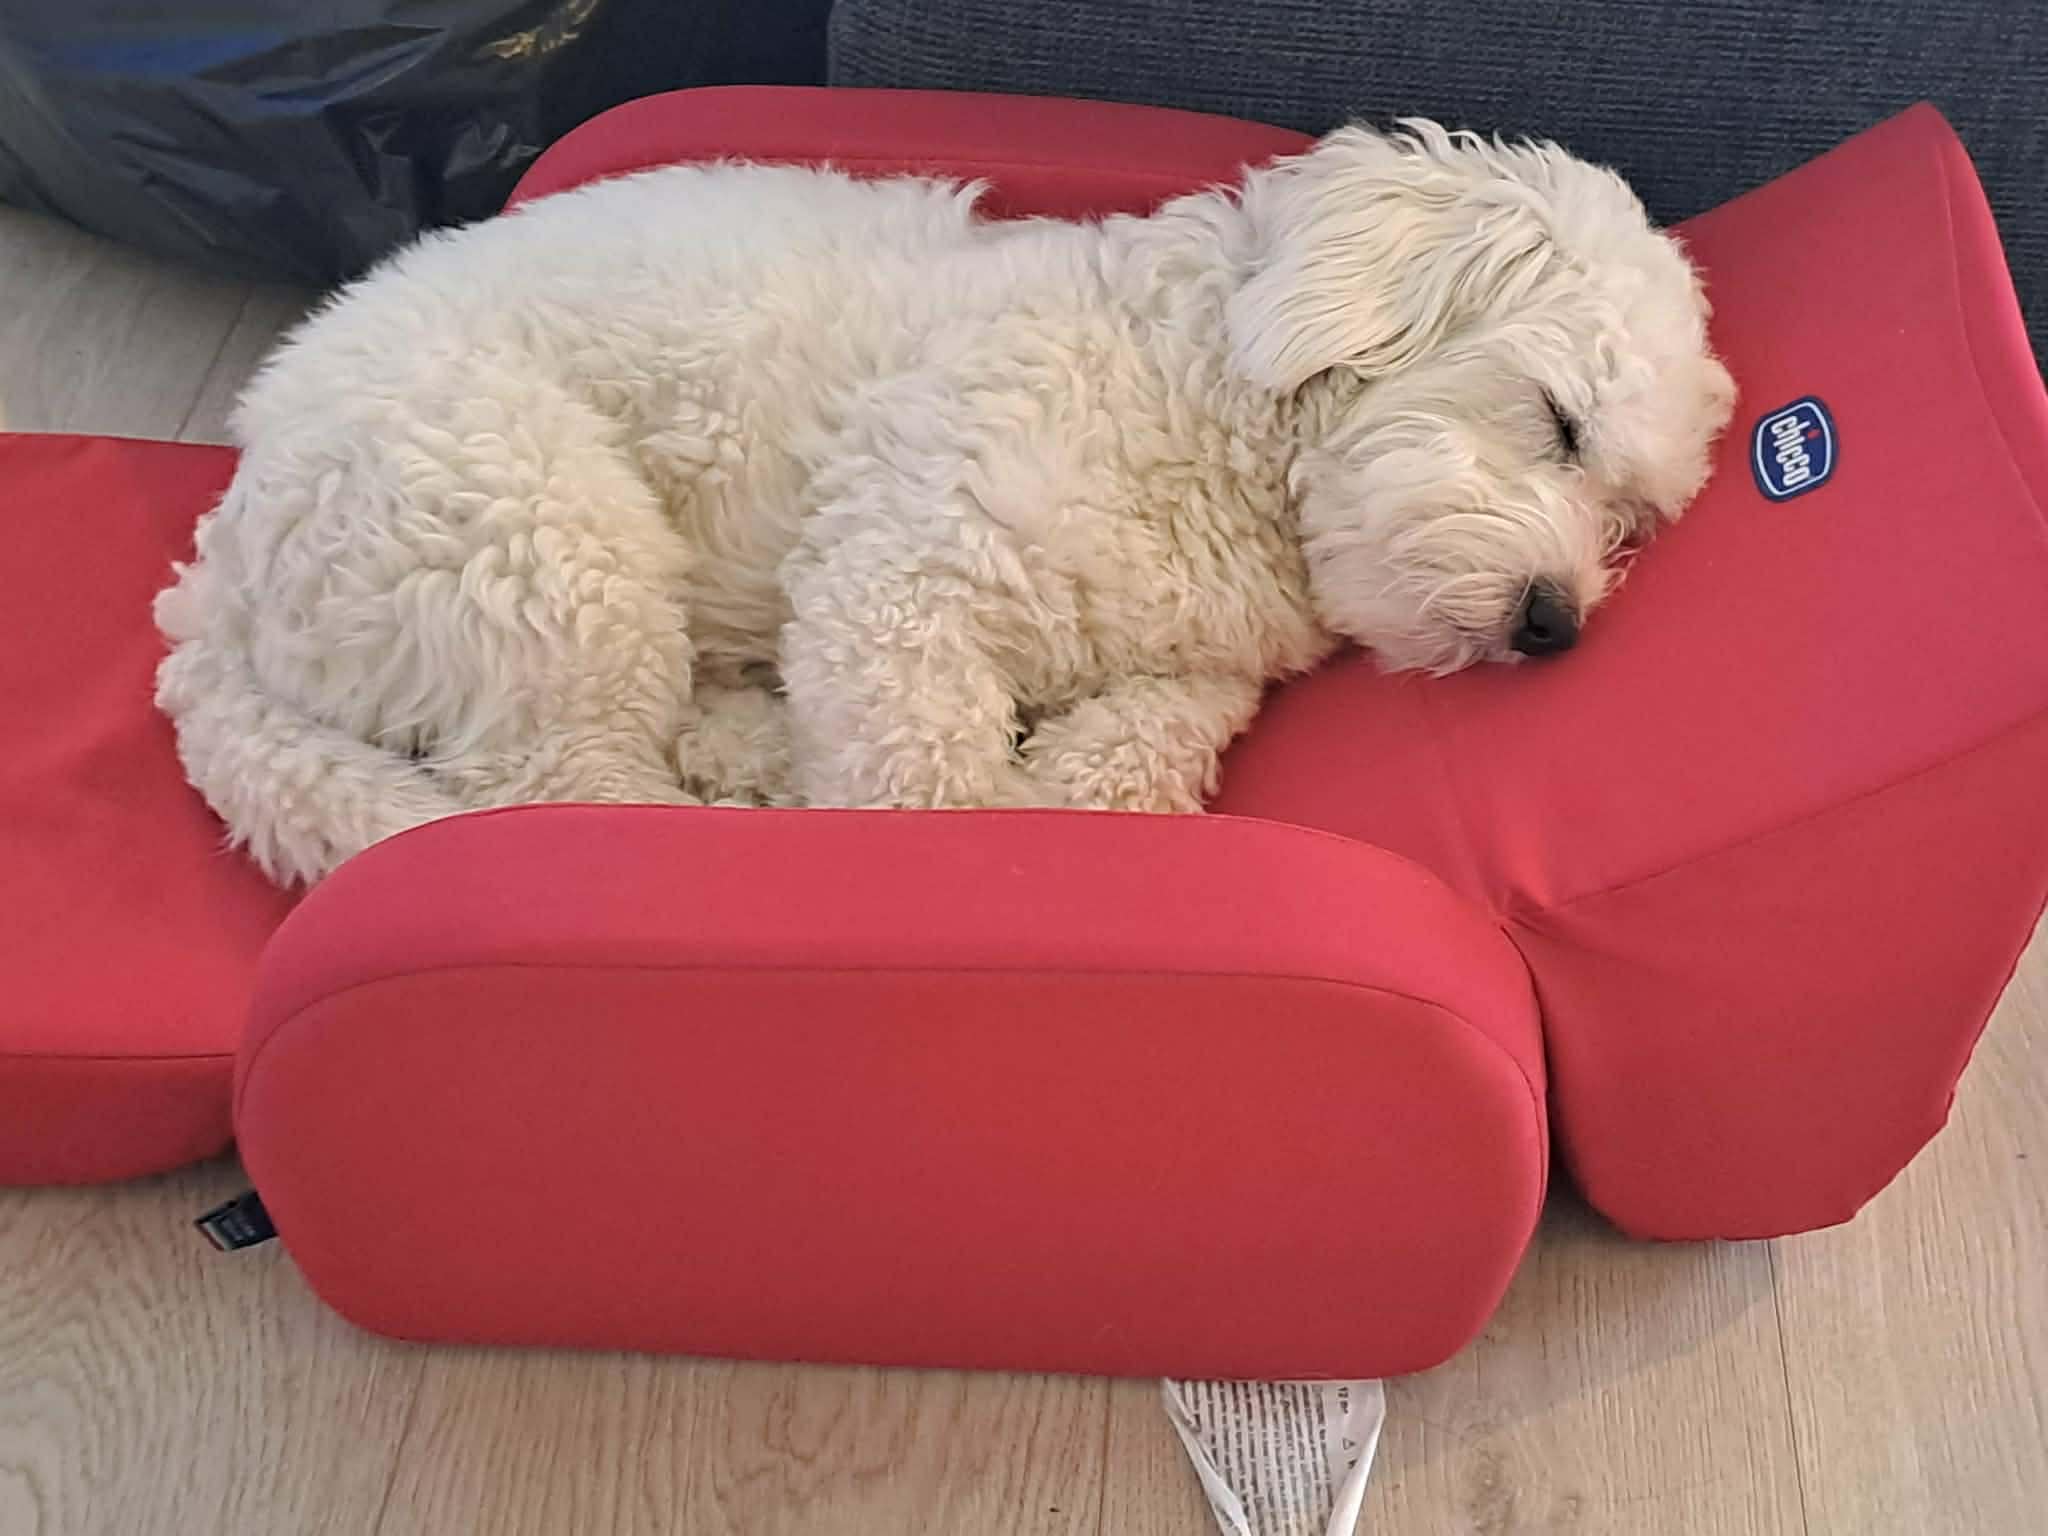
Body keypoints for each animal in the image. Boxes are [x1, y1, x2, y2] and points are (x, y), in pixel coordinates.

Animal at [155, 120, 1735, 886]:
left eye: (1632, 523)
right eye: (1557, 420)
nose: (1555, 624)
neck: (1203, 410)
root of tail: (210, 586)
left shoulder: (1196, 668)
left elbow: (1144, 752)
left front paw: (1073, 786)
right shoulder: (903, 574)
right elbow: (936, 787)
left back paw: (747, 743)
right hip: (540, 529)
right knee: (568, 793)